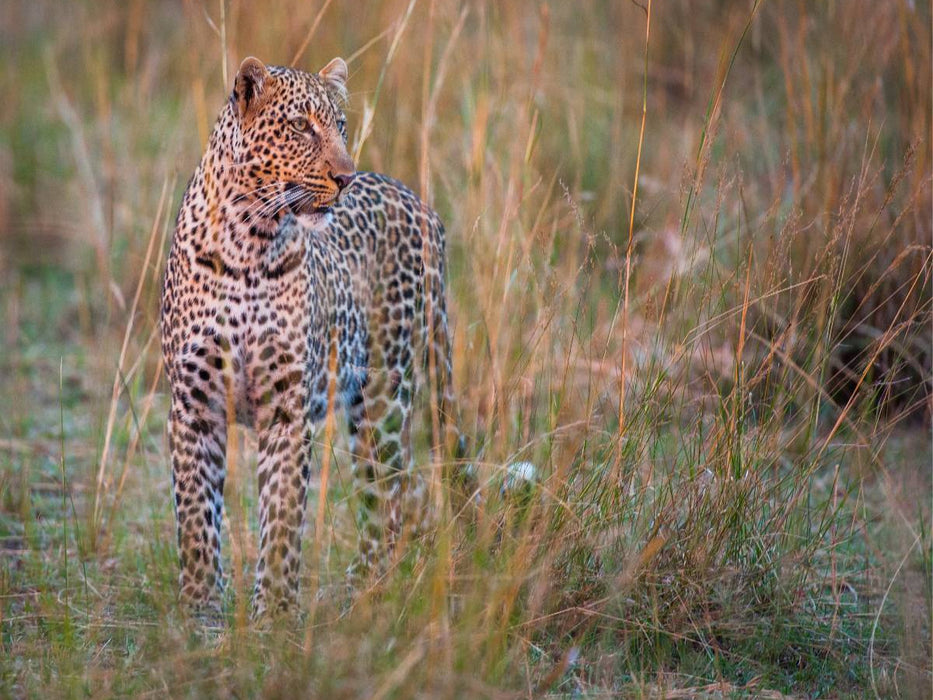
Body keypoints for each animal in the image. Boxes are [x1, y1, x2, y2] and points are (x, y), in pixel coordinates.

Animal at [160, 56, 465, 620]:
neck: (248, 245)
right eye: (302, 126)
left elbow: (281, 517)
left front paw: (274, 614)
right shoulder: (193, 404)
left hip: (384, 396)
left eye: (341, 126)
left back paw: (364, 594)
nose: (345, 177)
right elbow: (195, 518)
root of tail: (421, 203)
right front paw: (199, 610)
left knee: (392, 497)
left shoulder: (288, 406)